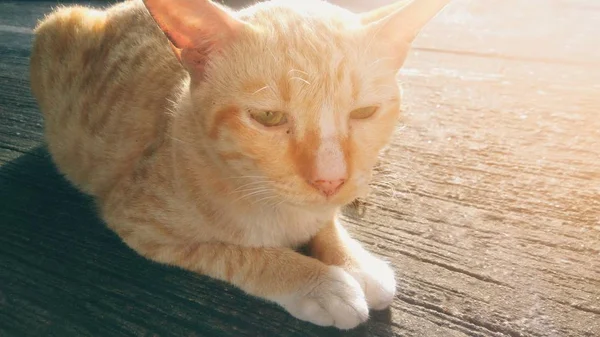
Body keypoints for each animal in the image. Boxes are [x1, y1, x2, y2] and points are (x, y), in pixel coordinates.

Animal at [29, 0, 450, 328]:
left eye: (364, 112)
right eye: (268, 117)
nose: (330, 180)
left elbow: (326, 223)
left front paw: (354, 262)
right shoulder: (138, 222)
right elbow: (236, 253)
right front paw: (319, 282)